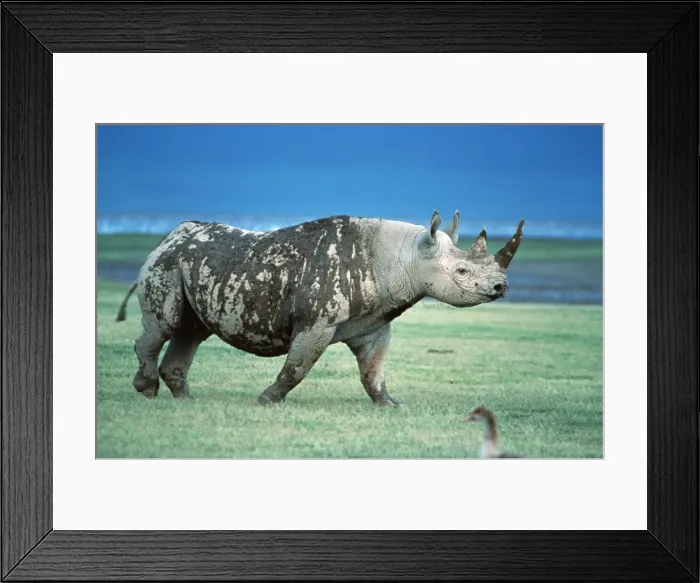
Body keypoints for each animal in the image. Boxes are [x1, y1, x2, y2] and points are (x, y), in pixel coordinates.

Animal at [116, 211, 524, 407]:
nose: (500, 287)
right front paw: (267, 400)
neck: (403, 257)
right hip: (168, 264)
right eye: (462, 271)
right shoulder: (316, 322)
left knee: (191, 331)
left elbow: (373, 370)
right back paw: (147, 390)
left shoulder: (375, 322)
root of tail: (168, 237)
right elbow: (298, 366)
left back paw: (184, 399)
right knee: (166, 325)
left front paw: (391, 405)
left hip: (190, 265)